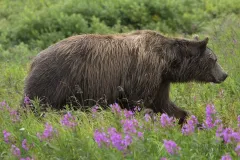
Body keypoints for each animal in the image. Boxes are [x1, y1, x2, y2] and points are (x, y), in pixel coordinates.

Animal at [23, 30, 228, 124]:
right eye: (214, 59)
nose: (224, 74)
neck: (167, 62)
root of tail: (34, 59)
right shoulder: (144, 72)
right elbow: (139, 103)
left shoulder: (161, 81)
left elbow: (164, 105)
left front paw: (189, 121)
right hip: (54, 80)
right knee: (33, 105)